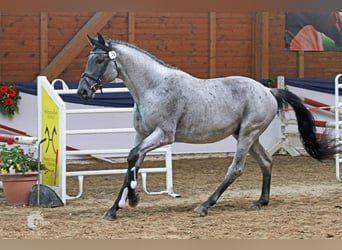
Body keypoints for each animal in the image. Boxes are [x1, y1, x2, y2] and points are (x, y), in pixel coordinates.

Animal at [77, 33, 336, 221]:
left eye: (100, 60)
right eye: (89, 59)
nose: (83, 91)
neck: (153, 87)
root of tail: (268, 90)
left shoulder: (163, 135)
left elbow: (132, 158)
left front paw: (132, 199)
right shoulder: (141, 135)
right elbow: (131, 163)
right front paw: (114, 209)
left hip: (247, 134)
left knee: (236, 169)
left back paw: (204, 206)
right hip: (246, 135)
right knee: (266, 161)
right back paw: (262, 201)